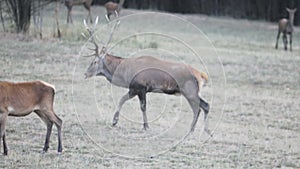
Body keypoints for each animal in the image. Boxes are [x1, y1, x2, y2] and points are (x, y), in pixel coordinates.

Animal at [82, 17, 211, 135]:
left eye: (94, 62)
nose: (85, 74)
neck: (125, 75)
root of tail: (200, 74)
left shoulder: (141, 87)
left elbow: (142, 107)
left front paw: (146, 126)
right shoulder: (133, 89)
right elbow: (121, 99)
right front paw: (114, 121)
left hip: (189, 91)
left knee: (198, 108)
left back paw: (191, 130)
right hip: (193, 92)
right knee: (205, 105)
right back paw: (206, 130)